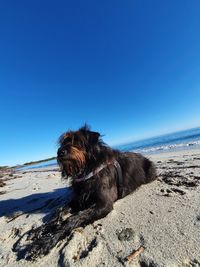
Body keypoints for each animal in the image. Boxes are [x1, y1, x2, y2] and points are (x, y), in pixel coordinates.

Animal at [14, 125, 157, 262]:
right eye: (63, 142)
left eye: (77, 141)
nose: (60, 152)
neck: (88, 168)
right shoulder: (79, 199)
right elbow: (59, 211)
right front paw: (41, 229)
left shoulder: (104, 204)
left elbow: (73, 218)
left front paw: (45, 242)